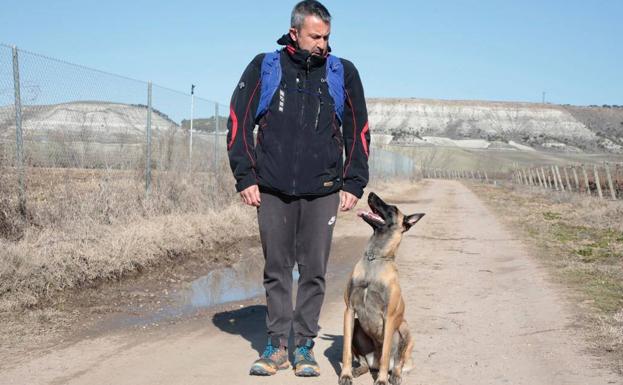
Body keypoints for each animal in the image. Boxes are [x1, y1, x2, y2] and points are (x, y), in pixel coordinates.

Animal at [338, 192, 426, 384]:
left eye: (392, 209)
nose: (370, 193)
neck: (375, 258)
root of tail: (374, 363)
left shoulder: (390, 317)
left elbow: (386, 354)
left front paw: (382, 380)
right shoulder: (349, 311)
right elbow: (346, 350)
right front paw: (345, 374)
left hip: (404, 328)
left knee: (398, 362)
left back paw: (394, 375)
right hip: (357, 325)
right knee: (365, 362)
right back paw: (359, 369)